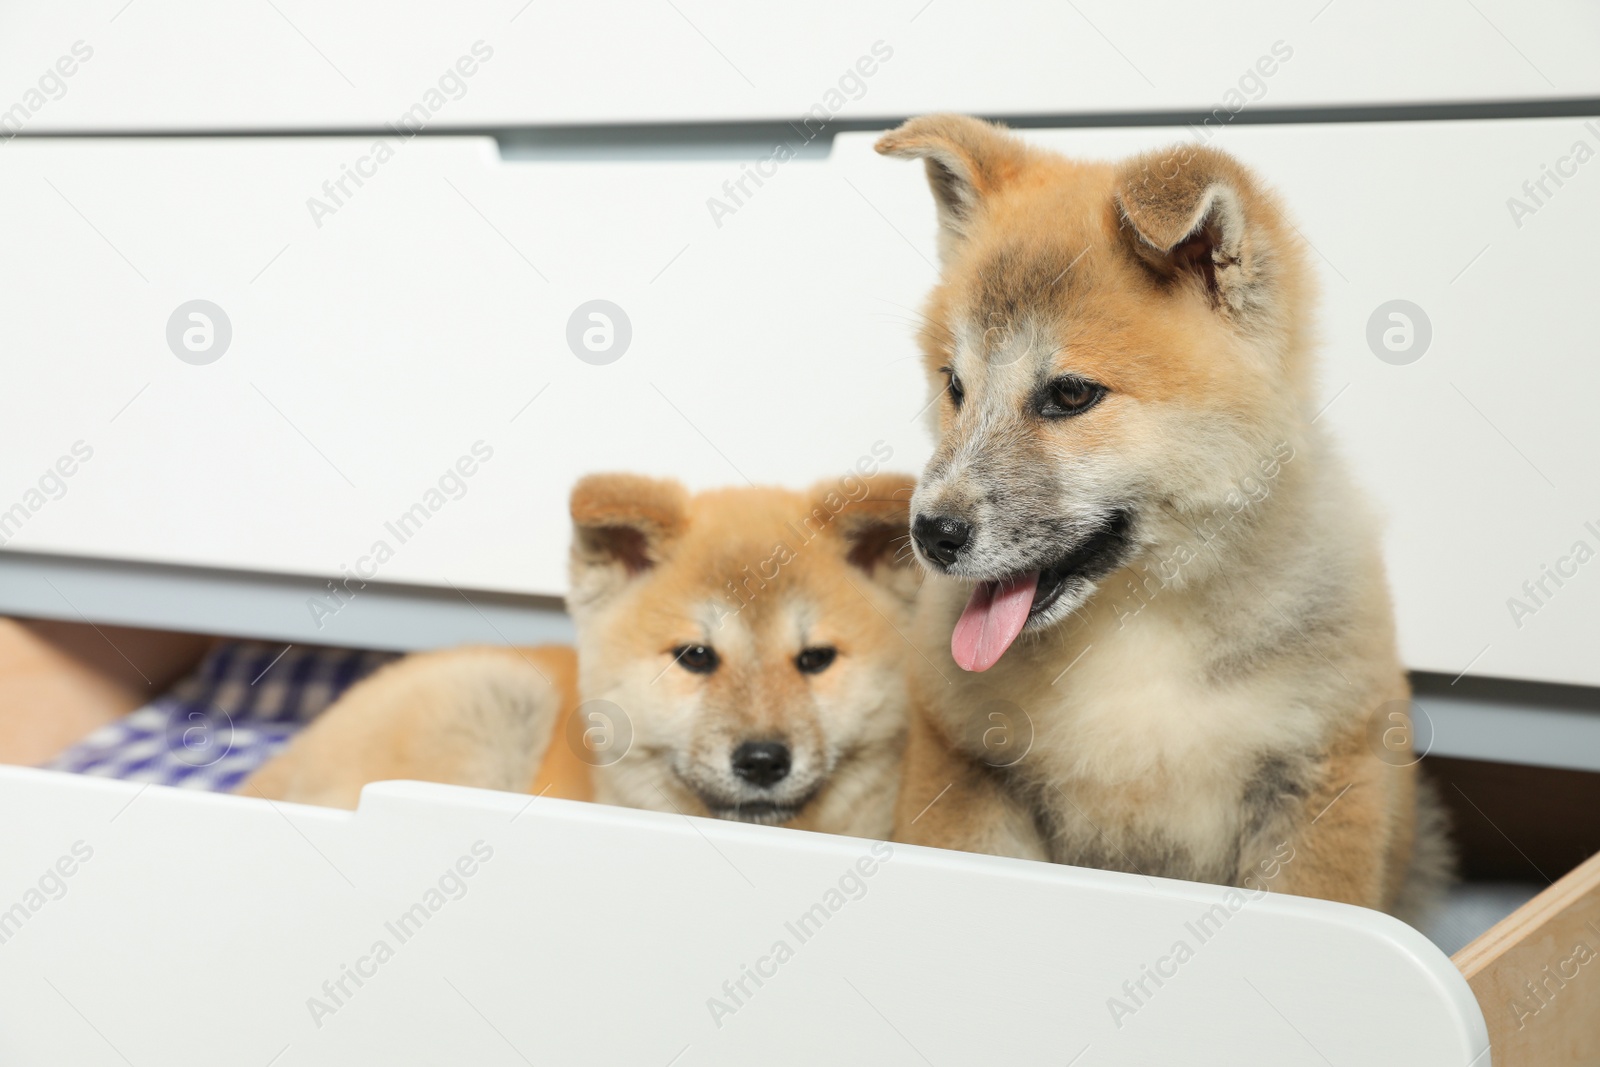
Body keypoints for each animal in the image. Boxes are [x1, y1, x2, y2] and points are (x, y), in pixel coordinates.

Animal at [876, 112, 1452, 921]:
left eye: (1071, 395)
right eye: (954, 385)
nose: (932, 533)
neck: (1137, 626)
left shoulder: (1313, 776)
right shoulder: (970, 764)